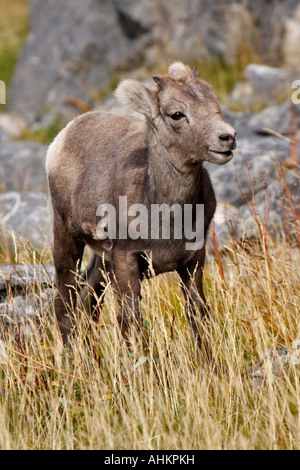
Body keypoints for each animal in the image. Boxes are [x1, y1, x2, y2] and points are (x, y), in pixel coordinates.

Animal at [45, 63, 236, 356]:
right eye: (177, 114)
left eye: (216, 104)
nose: (228, 137)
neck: (167, 218)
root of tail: (62, 137)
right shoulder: (126, 261)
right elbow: (130, 320)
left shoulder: (193, 261)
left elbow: (197, 314)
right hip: (68, 239)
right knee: (64, 304)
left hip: (102, 262)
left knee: (87, 300)